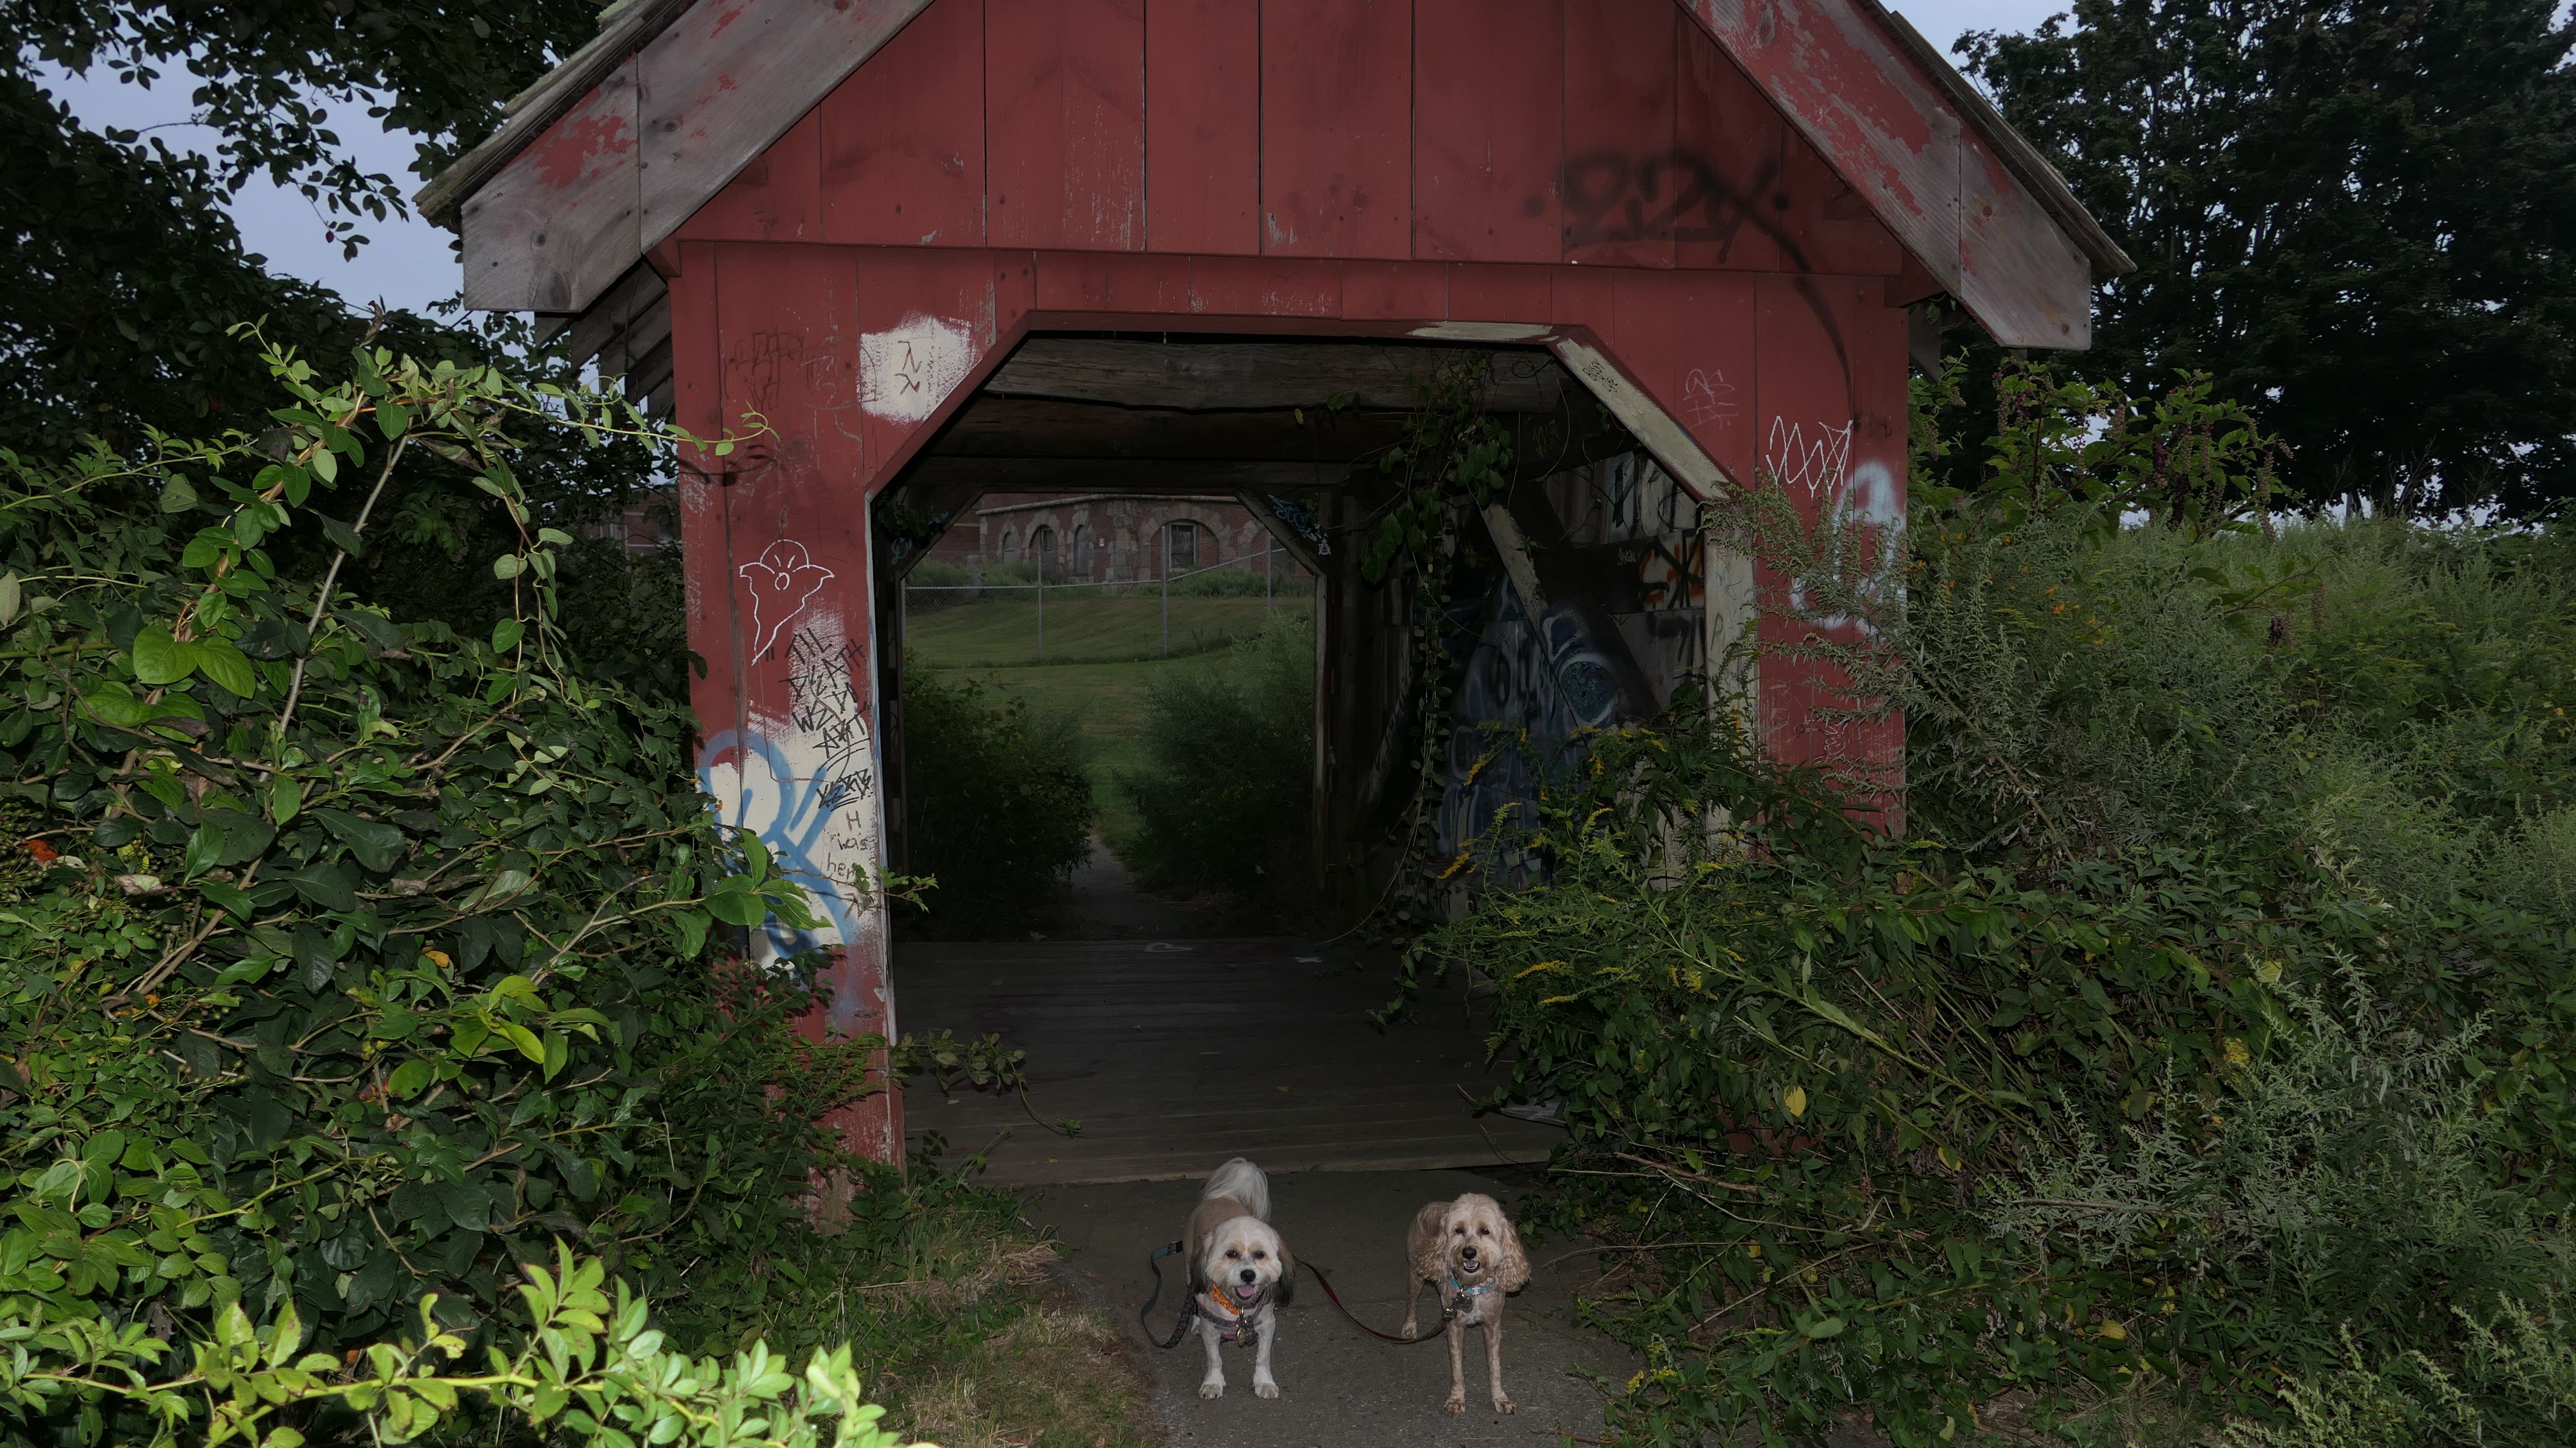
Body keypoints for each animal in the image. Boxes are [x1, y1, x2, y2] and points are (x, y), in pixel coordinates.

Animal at [1185, 1157, 1292, 1399]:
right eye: (1231, 1254)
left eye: (1260, 1254)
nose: (1248, 1275)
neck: (1239, 1309)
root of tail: (1225, 1197)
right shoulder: (1210, 1330)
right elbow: (1214, 1360)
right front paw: (1213, 1383)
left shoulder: (1267, 1325)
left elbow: (1263, 1359)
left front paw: (1264, 1382)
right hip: (1189, 1271)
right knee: (1192, 1300)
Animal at [1402, 1192, 1530, 1415]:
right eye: (1458, 1231)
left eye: (1485, 1231)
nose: (1469, 1253)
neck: (1473, 1289)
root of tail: (1429, 1205)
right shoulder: (1455, 1329)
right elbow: (1457, 1370)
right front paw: (1456, 1400)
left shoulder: (1493, 1327)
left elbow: (1495, 1368)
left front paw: (1501, 1398)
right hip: (1416, 1276)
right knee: (1412, 1302)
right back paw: (1410, 1327)